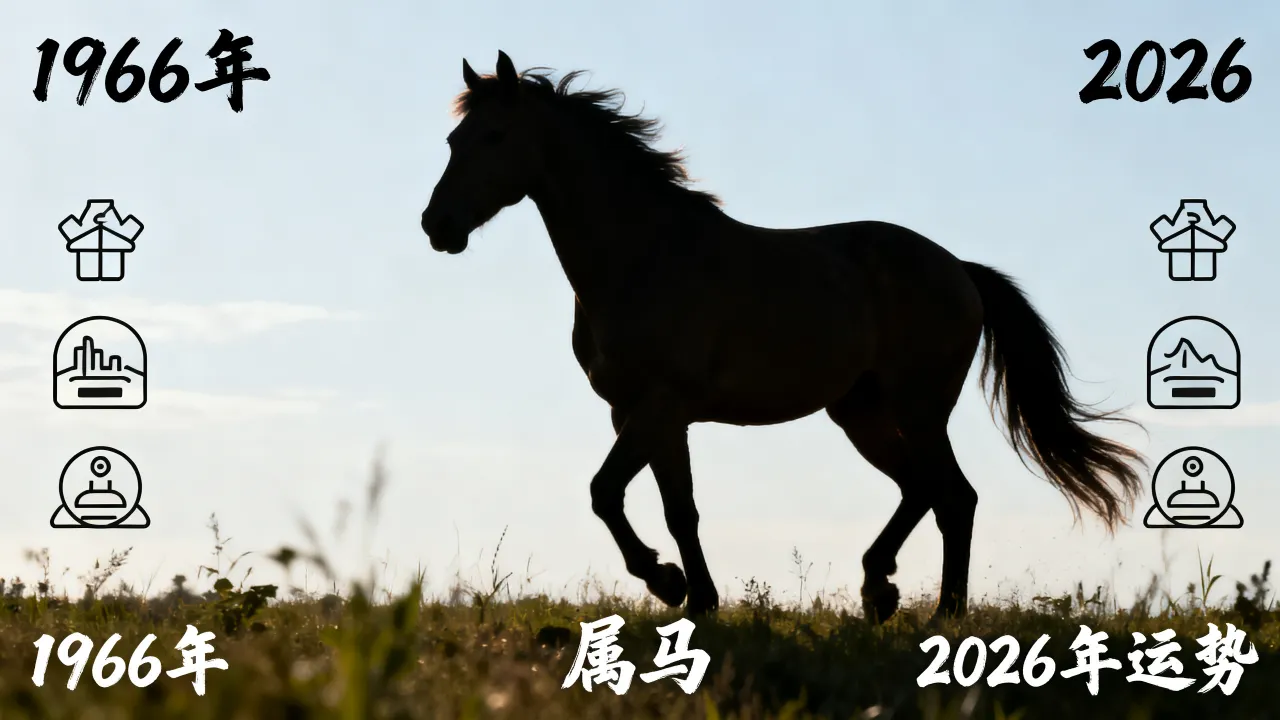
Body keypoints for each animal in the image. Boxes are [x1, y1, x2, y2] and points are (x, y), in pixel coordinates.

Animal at [420, 51, 1146, 624]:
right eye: (455, 140)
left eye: (494, 136)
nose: (437, 225)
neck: (643, 256)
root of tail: (960, 270)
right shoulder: (641, 414)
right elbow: (677, 508)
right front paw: (697, 598)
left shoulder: (660, 405)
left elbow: (607, 492)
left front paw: (666, 583)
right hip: (859, 413)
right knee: (921, 490)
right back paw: (878, 591)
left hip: (917, 408)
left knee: (954, 498)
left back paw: (944, 613)